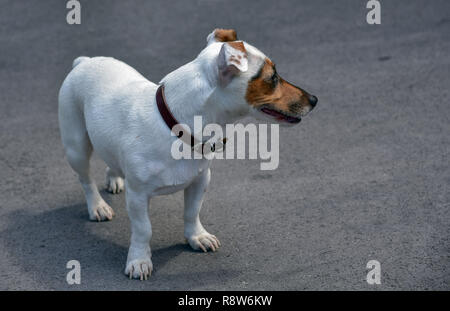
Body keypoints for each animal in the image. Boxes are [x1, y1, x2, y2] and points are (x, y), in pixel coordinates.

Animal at [58, 28, 316, 280]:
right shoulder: (138, 195)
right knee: (86, 179)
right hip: (77, 147)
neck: (176, 126)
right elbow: (143, 229)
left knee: (111, 159)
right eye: (272, 78)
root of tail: (84, 62)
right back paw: (97, 206)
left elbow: (192, 212)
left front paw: (197, 237)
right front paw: (139, 260)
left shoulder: (200, 179)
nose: (314, 100)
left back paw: (114, 179)